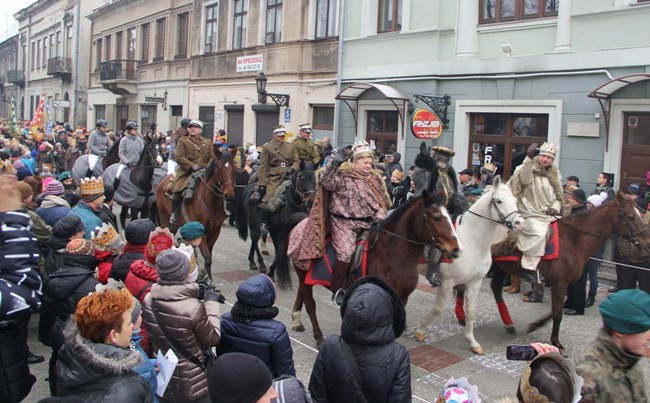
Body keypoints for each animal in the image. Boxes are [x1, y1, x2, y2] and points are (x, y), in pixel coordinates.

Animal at [276, 192, 464, 348]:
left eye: (450, 216)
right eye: (436, 217)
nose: (455, 249)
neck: (392, 252)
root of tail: (301, 223)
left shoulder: (402, 298)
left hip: (304, 276)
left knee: (301, 293)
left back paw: (297, 321)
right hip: (303, 275)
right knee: (311, 304)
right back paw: (319, 337)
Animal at [412, 178, 524, 356]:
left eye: (515, 200)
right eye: (499, 200)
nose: (520, 223)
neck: (472, 240)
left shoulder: (474, 282)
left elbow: (471, 311)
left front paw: (473, 342)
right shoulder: (447, 283)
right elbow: (437, 308)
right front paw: (421, 331)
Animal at [480, 193, 648, 354]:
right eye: (630, 216)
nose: (646, 243)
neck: (573, 239)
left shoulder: (563, 283)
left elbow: (556, 310)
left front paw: (536, 325)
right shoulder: (559, 282)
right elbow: (557, 314)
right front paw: (556, 343)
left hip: (500, 266)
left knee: (496, 289)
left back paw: (508, 324)